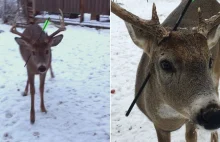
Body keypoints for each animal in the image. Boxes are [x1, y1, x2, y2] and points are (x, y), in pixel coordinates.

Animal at [112, 0, 220, 141]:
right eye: (165, 64)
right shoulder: (159, 126)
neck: (172, 120)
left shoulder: (190, 122)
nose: (213, 115)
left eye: (210, 60)